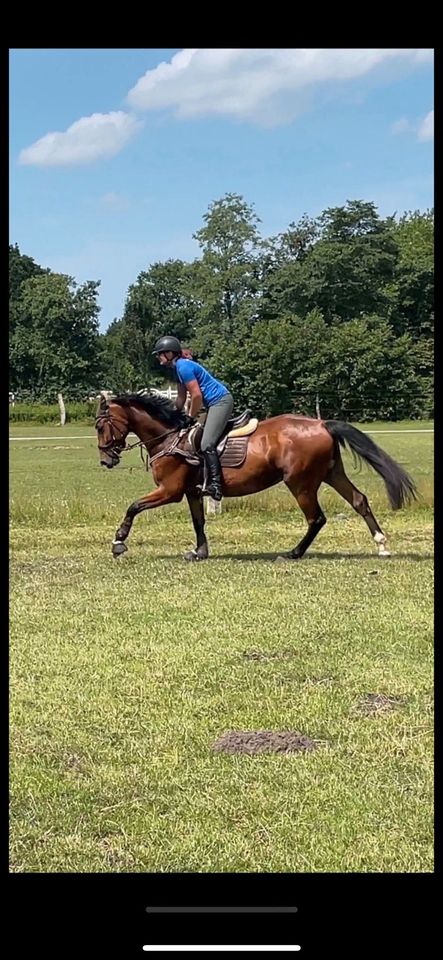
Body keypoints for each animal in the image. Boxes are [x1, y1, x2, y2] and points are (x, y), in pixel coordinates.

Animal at [95, 392, 418, 564]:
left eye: (100, 426)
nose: (105, 461)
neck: (169, 437)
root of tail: (321, 423)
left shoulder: (170, 490)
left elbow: (133, 506)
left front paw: (118, 542)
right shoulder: (191, 491)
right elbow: (198, 522)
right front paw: (200, 552)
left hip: (300, 482)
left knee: (316, 518)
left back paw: (293, 553)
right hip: (331, 472)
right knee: (359, 500)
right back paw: (382, 545)